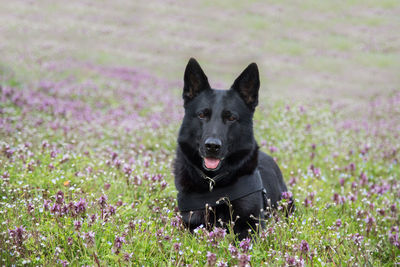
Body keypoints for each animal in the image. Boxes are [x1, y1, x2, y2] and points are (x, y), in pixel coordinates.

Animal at [173, 57, 292, 240]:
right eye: (202, 115)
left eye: (231, 118)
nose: (212, 146)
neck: (213, 183)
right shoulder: (190, 224)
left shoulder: (252, 226)